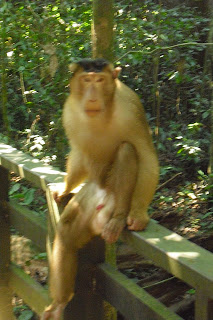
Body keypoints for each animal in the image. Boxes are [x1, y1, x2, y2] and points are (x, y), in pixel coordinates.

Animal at [55, 58, 159, 242]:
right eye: (86, 80)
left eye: (100, 80)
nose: (92, 99)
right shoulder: (69, 112)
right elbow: (78, 151)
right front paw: (66, 187)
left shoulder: (130, 107)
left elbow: (146, 156)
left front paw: (139, 213)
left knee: (127, 150)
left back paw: (118, 218)